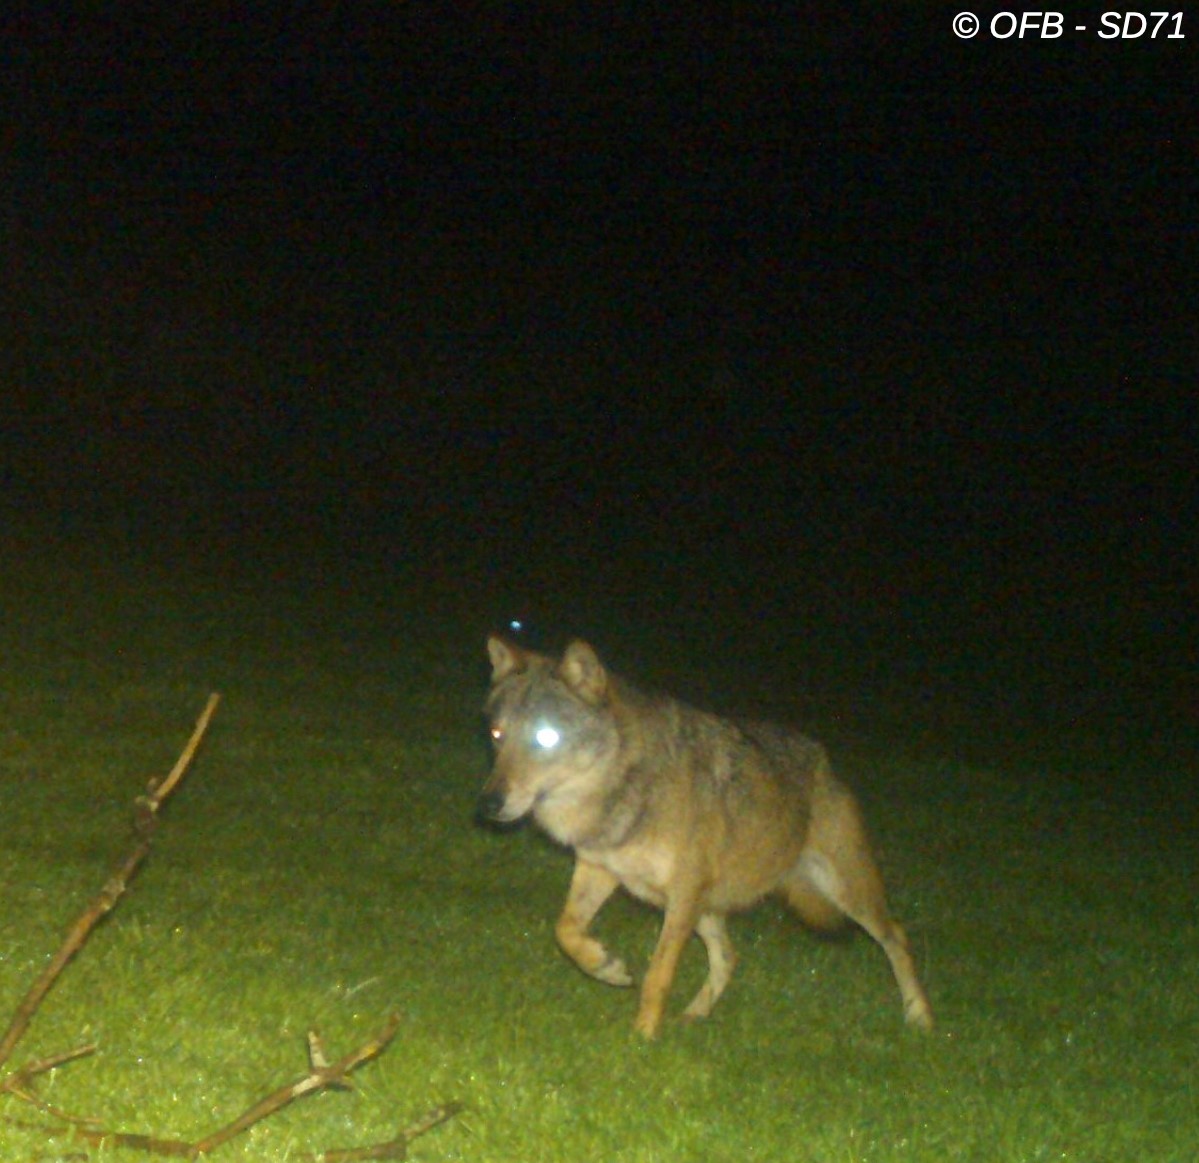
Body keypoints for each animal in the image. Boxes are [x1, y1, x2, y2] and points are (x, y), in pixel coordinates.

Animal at [477, 637, 935, 1035]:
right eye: (498, 735)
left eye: (546, 737)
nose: (488, 804)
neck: (624, 789)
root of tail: (825, 761)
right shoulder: (599, 868)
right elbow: (566, 930)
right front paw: (606, 967)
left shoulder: (681, 895)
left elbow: (657, 975)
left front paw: (642, 1041)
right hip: (709, 908)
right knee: (729, 957)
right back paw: (694, 1016)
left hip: (845, 893)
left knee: (897, 935)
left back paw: (920, 1017)